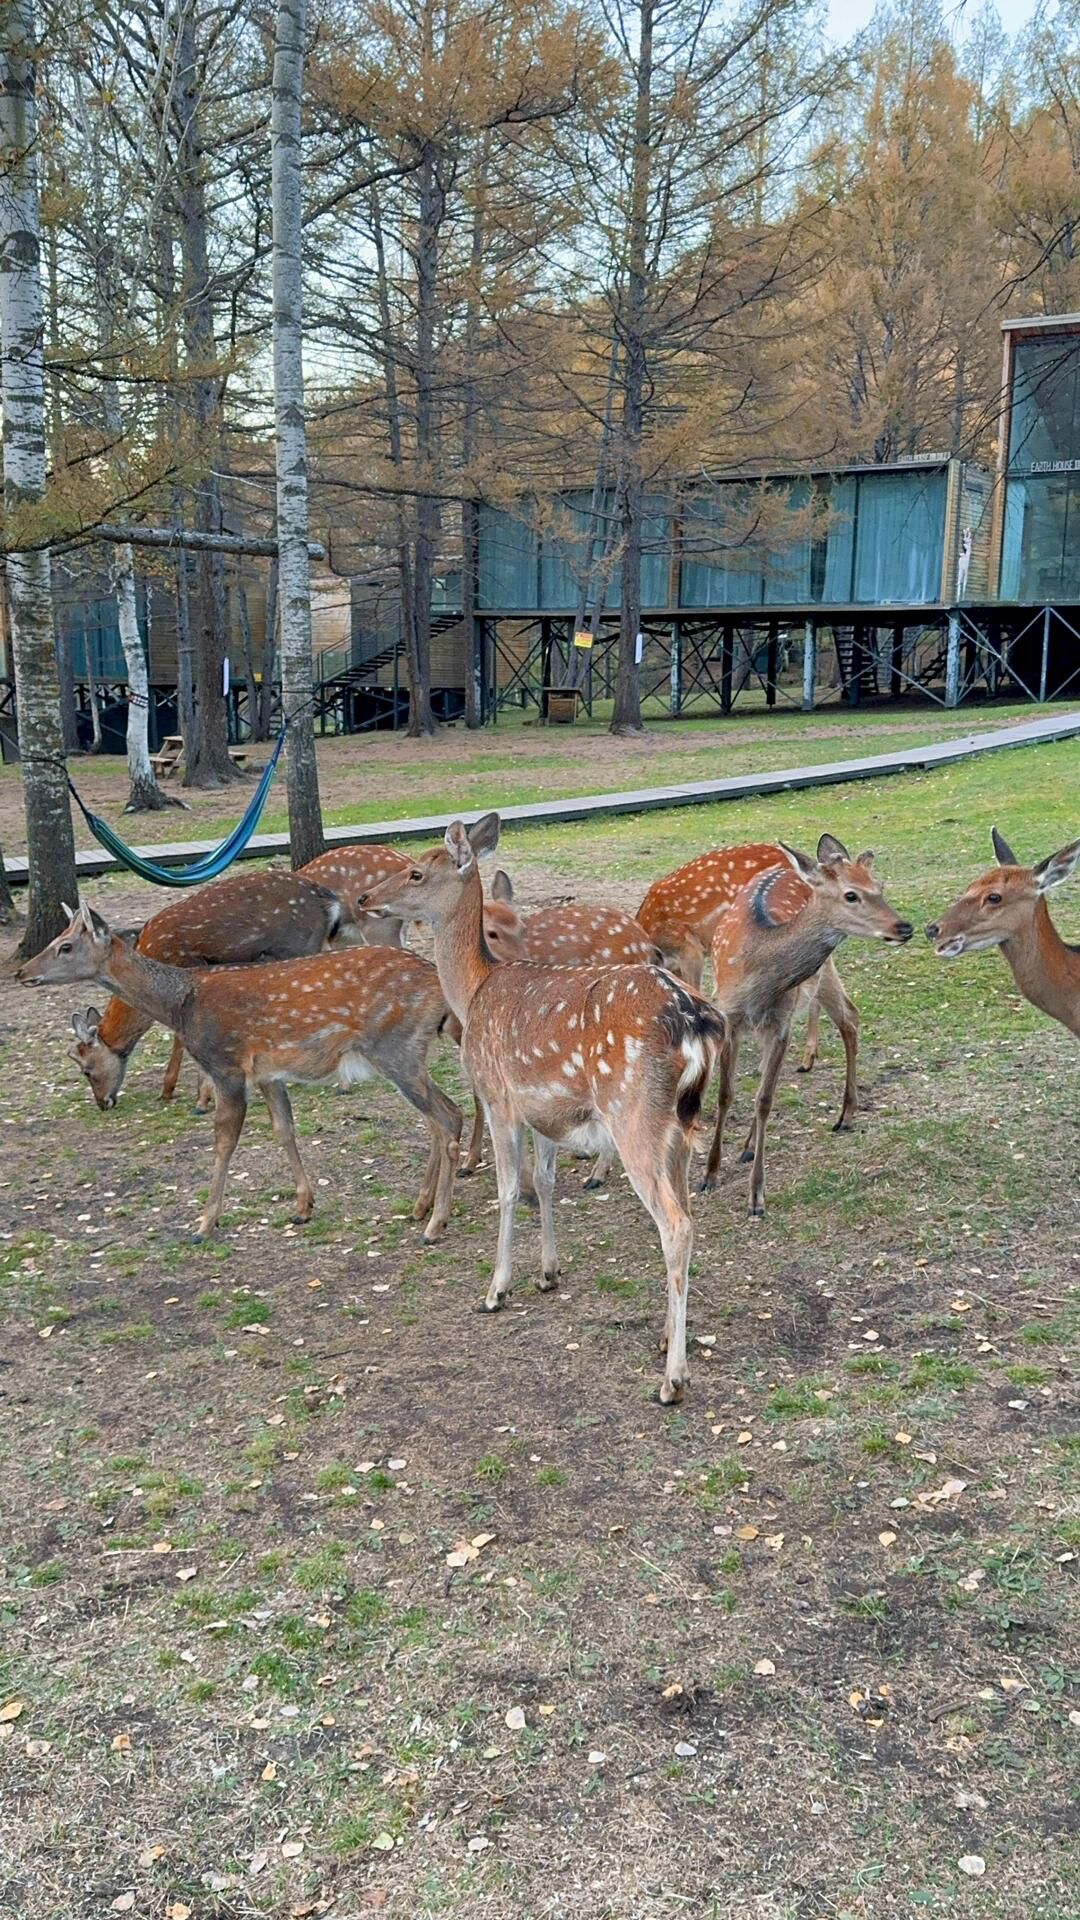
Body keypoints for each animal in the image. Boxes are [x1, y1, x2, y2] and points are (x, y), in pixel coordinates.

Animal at [20, 904, 463, 1242]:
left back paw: (435, 1223)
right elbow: (284, 1129)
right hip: (406, 1056)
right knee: (438, 1119)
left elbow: (223, 1142)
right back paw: (420, 1207)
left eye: (64, 945)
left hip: (395, 1048)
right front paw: (303, 1205)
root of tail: (439, 988)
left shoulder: (227, 1065)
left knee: (448, 1116)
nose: (22, 973)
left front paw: (203, 1224)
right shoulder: (268, 1074)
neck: (181, 1005)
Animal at [69, 869, 344, 1112]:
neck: (151, 951)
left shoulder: (191, 971)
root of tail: (328, 899)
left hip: (297, 945)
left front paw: (190, 1095)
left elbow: (179, 1035)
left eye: (87, 1070)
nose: (103, 1103)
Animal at [357, 812, 727, 1405]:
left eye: (415, 871)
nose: (365, 897)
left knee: (675, 1226)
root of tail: (697, 1022)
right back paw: (668, 1336)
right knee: (688, 1213)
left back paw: (672, 1380)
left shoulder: (500, 1096)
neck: (474, 991)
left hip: (635, 1114)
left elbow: (509, 1188)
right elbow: (547, 1184)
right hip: (681, 1126)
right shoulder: (546, 1114)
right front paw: (548, 1274)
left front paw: (496, 1289)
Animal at [702, 835, 913, 1217]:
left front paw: (757, 1196)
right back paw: (748, 1145)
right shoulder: (729, 1016)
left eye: (880, 886)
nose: (904, 927)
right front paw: (710, 1174)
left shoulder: (781, 1023)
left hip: (823, 972)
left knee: (849, 1017)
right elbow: (726, 1095)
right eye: (851, 895)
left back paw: (846, 1115)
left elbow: (764, 1099)